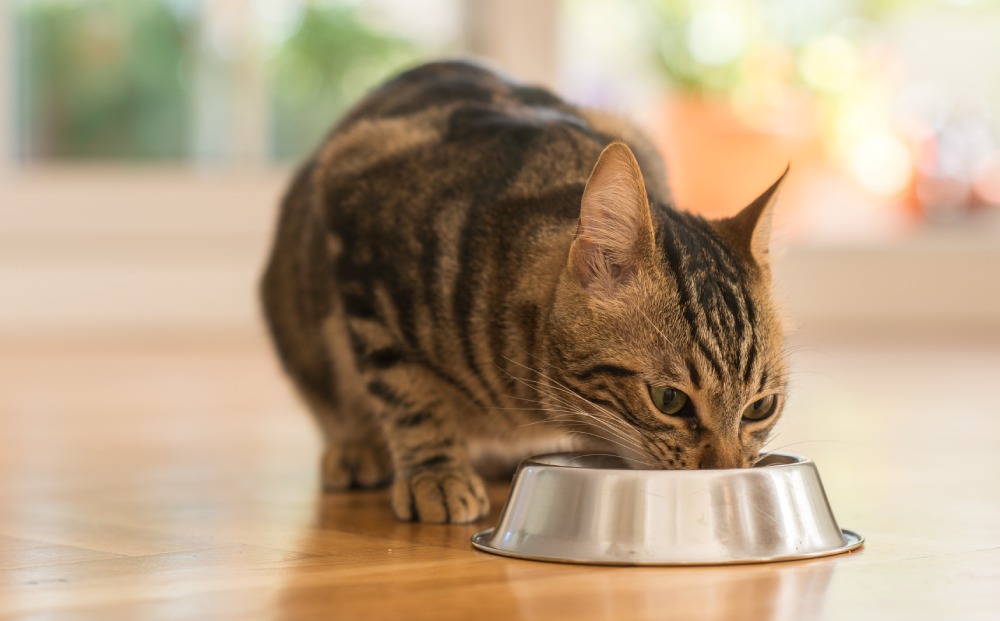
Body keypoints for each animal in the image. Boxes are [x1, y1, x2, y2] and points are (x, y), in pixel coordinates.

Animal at [264, 59, 788, 524]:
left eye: (761, 408)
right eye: (668, 400)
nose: (725, 473)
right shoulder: (359, 234)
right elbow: (406, 394)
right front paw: (436, 474)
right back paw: (357, 449)